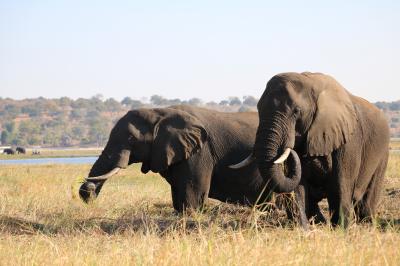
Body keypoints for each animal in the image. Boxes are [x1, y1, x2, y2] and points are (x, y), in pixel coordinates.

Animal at [79, 105, 272, 211]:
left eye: (131, 139)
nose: (88, 188)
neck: (160, 111)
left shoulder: (200, 151)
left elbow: (192, 195)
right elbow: (178, 195)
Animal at [233, 72, 390, 229]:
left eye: (296, 111)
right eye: (259, 109)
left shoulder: (349, 139)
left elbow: (340, 185)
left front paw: (339, 230)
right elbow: (299, 186)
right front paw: (303, 229)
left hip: (383, 153)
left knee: (366, 202)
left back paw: (367, 226)